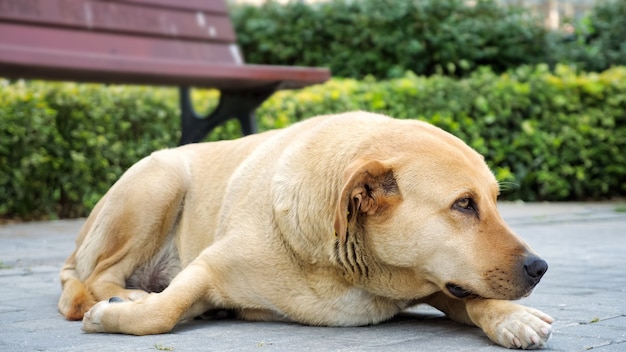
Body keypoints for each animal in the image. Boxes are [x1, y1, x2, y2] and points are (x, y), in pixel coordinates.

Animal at [57, 111, 552, 348]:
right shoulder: (207, 266)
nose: (540, 267)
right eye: (463, 204)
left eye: (494, 201)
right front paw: (114, 316)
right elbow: (163, 311)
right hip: (160, 180)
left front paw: (512, 318)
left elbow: (475, 299)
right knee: (100, 275)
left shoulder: (436, 281)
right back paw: (128, 296)